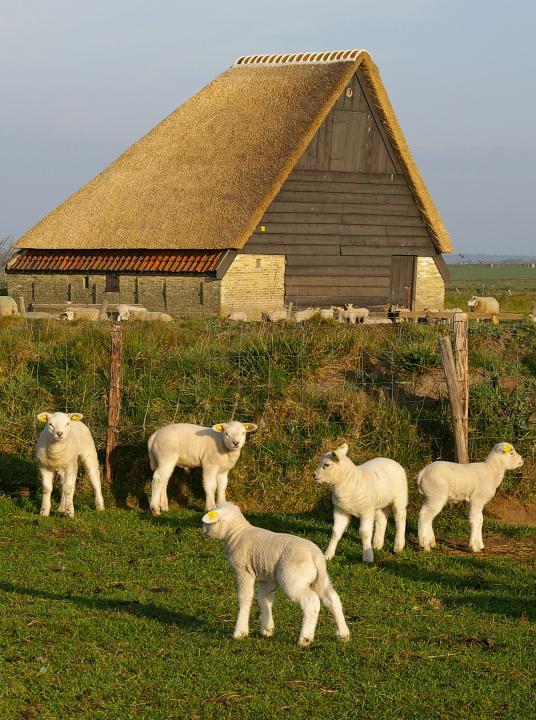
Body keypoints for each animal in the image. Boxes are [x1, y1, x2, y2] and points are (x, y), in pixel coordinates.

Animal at [203, 500, 350, 648]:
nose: (202, 530)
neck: (237, 533)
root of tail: (315, 556)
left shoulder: (244, 573)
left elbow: (245, 598)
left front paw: (240, 632)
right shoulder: (266, 578)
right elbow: (264, 599)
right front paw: (267, 629)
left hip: (292, 580)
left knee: (311, 601)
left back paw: (305, 639)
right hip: (320, 579)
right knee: (332, 599)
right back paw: (343, 634)